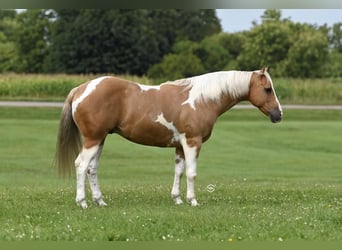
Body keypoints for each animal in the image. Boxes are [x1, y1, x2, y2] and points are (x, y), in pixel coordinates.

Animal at [54, 66, 282, 209]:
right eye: (267, 89)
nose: (278, 115)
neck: (202, 99)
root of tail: (80, 89)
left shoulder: (180, 146)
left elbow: (179, 172)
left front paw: (177, 199)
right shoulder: (192, 142)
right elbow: (191, 173)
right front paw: (193, 201)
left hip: (100, 139)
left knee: (92, 169)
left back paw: (100, 201)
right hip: (92, 140)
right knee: (81, 165)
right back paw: (82, 202)